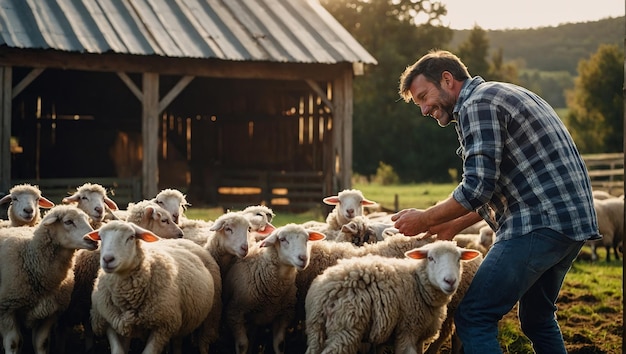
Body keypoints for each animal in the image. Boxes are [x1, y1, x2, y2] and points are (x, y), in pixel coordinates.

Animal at [0, 205, 96, 354]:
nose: (94, 240)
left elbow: (42, 343)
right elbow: (13, 343)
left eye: (87, 220)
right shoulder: (7, 309)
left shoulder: (49, 312)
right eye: (68, 222)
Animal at [86, 220, 217, 354]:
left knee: (200, 341)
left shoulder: (162, 326)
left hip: (209, 315)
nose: (107, 259)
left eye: (131, 237)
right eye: (101, 237)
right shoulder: (109, 321)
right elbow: (118, 350)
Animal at [221, 224, 326, 354]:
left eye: (306, 240)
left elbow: (279, 345)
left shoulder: (284, 315)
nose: (303, 258)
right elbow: (242, 344)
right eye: (282, 239)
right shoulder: (235, 313)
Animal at [302, 241, 478, 354]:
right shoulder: (407, 329)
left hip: (316, 330)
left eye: (459, 259)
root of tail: (325, 292)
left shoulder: (419, 335)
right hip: (345, 329)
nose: (450, 281)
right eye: (430, 258)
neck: (418, 283)